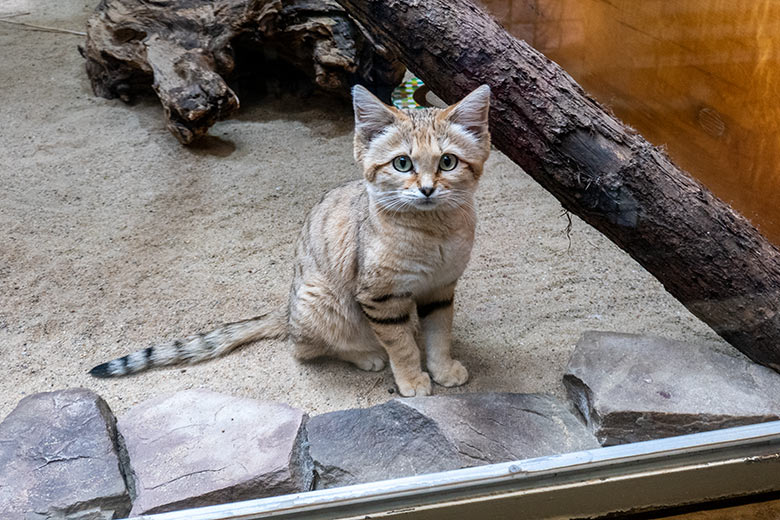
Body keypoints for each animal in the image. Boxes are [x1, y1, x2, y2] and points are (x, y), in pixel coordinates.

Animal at [91, 85, 490, 396]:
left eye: (448, 162)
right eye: (402, 163)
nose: (427, 190)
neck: (434, 232)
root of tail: (286, 309)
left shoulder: (441, 288)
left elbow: (439, 334)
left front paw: (443, 369)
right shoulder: (380, 297)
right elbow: (402, 345)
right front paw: (412, 380)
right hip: (323, 299)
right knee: (304, 348)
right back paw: (366, 355)